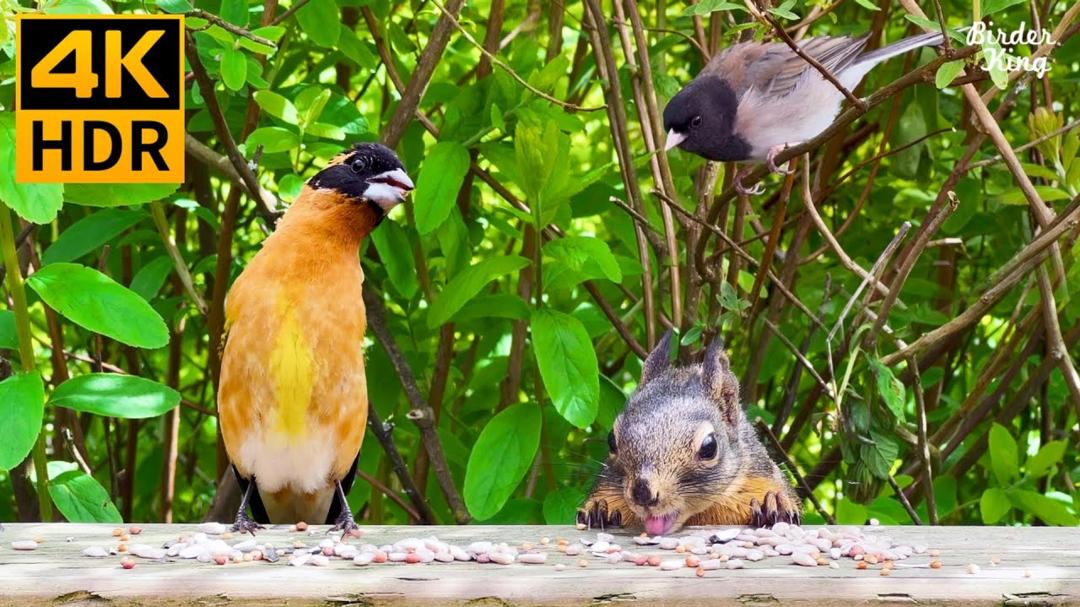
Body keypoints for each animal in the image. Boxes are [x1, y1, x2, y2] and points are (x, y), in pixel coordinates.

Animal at [578, 331, 800, 534]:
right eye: (611, 441)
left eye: (710, 447)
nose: (642, 494)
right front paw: (600, 507)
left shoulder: (762, 474)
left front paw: (773, 502)